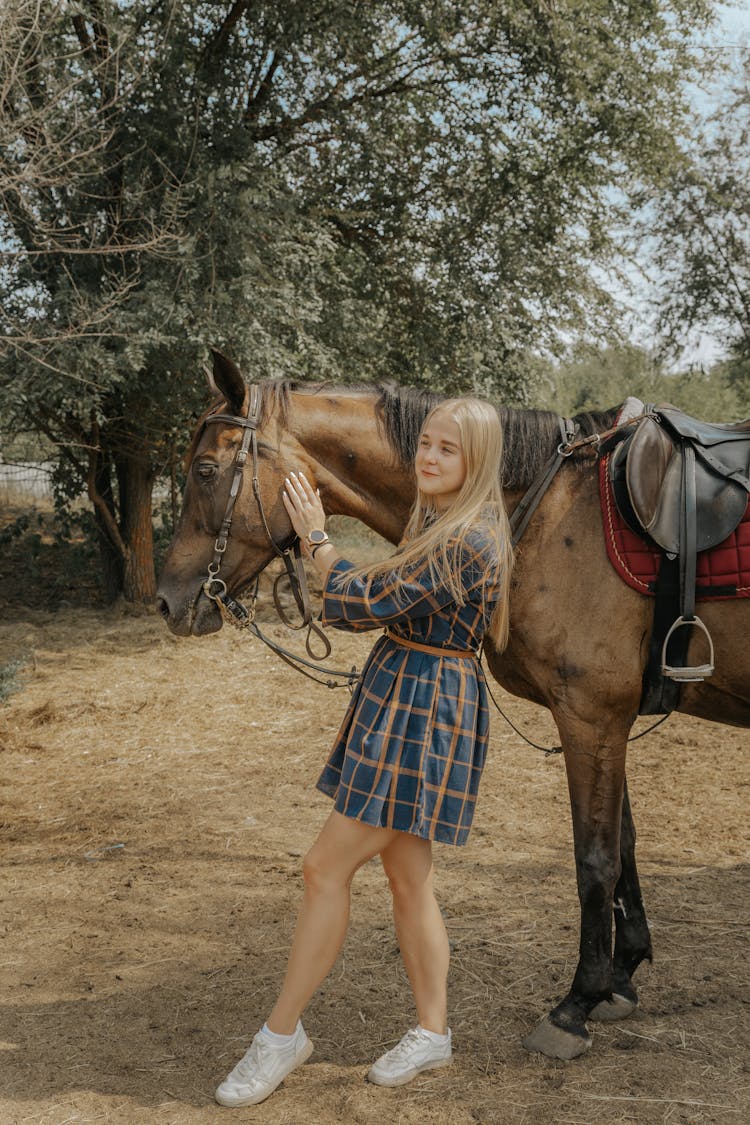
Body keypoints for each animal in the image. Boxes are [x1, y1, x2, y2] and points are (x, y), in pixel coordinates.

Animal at [155, 353, 746, 1062]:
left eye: (205, 470)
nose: (167, 600)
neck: (547, 508)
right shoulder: (611, 720)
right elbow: (625, 845)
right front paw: (622, 977)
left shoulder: (591, 716)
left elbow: (595, 858)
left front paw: (577, 1002)